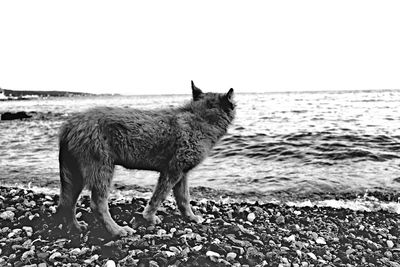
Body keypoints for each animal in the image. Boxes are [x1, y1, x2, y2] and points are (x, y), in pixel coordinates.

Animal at [57, 81, 236, 239]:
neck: (201, 117)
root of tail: (69, 125)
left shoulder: (182, 174)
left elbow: (184, 198)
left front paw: (191, 217)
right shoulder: (172, 171)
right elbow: (159, 197)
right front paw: (149, 217)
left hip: (75, 174)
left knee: (67, 203)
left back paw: (75, 227)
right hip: (101, 168)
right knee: (97, 204)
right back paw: (117, 231)